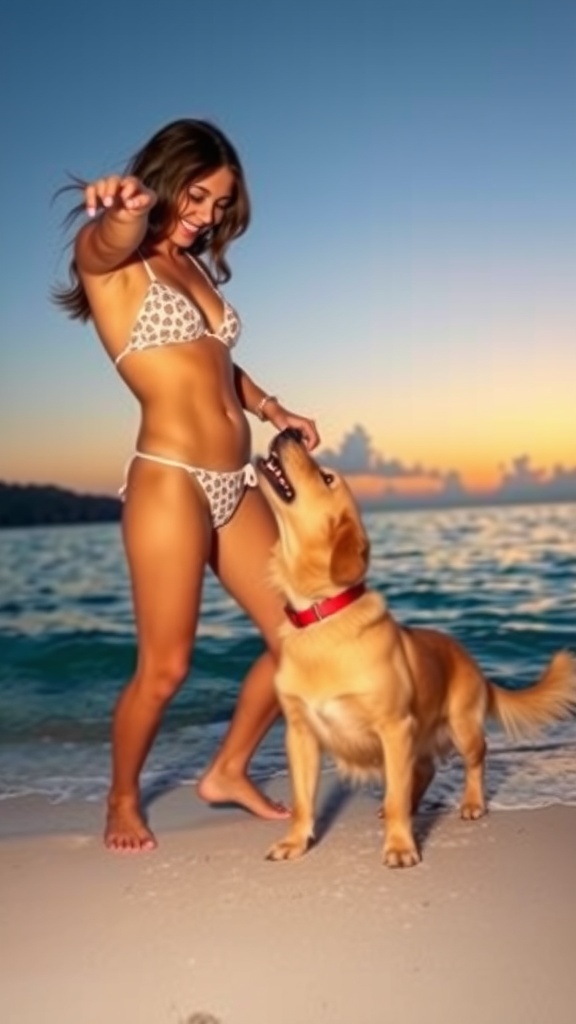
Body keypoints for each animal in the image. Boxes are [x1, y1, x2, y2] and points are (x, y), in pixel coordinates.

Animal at [255, 428, 573, 868]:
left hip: (461, 728)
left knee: (475, 759)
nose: (290, 431)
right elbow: (303, 800)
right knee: (423, 773)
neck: (320, 616)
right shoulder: (301, 735)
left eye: (327, 477)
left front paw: (401, 846)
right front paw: (295, 842)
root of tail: (470, 658)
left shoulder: (393, 727)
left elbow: (396, 796)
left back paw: (472, 803)